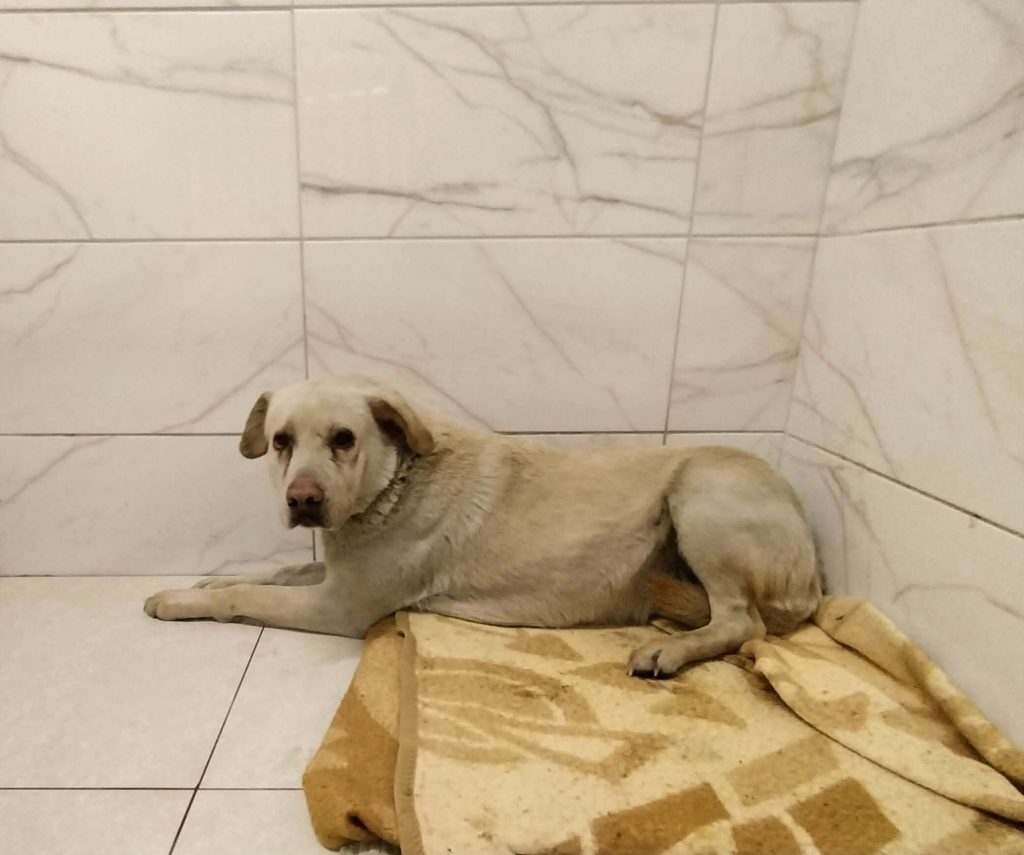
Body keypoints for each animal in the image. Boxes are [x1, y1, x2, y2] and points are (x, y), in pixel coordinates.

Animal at [145, 374, 820, 677]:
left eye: (343, 439)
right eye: (282, 441)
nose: (303, 501)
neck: (393, 482)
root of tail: (812, 583)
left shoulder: (340, 606)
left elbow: (245, 596)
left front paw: (179, 600)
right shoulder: (331, 572)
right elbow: (279, 569)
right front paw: (205, 581)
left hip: (699, 495)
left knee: (742, 622)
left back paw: (670, 649)